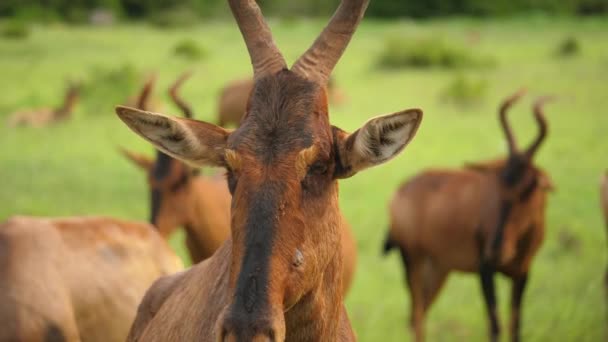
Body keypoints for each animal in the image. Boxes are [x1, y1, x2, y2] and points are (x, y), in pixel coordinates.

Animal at [388, 91, 552, 342]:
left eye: (530, 188)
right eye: (498, 183)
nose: (497, 250)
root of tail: (402, 189)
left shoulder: (523, 273)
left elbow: (516, 326)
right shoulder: (484, 269)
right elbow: (494, 325)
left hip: (438, 267)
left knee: (420, 312)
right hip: (412, 260)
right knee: (416, 315)